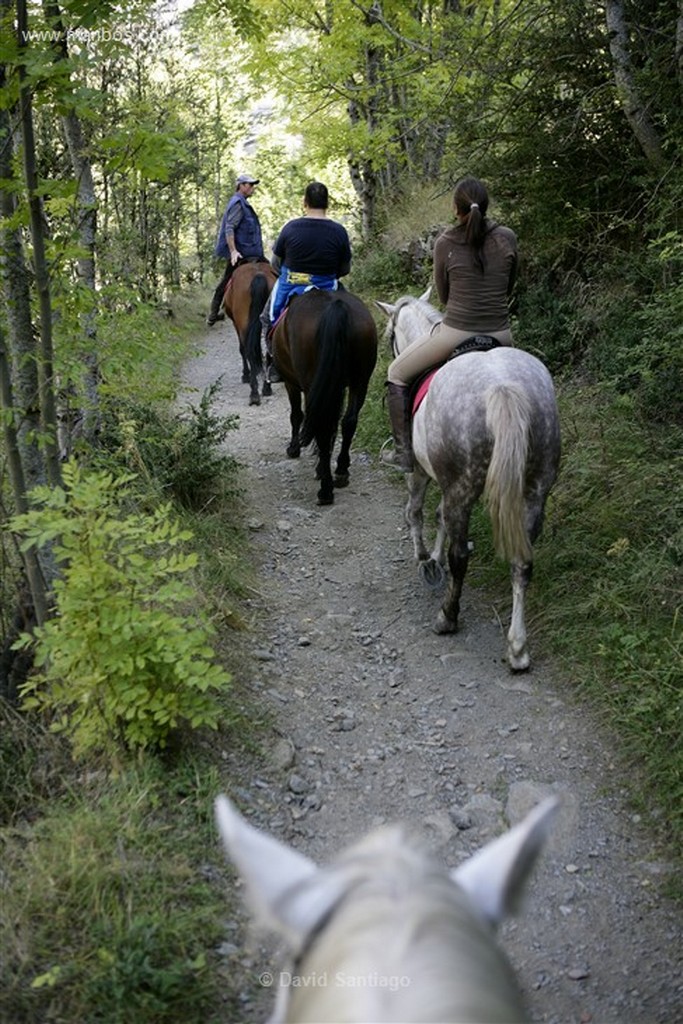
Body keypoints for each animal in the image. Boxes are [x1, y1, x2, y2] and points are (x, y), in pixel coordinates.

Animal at [224, 260, 278, 403]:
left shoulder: (236, 324)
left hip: (243, 323)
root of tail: (258, 276)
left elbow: (242, 349)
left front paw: (245, 375)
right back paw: (266, 388)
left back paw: (254, 393)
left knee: (248, 351)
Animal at [272, 290, 378, 505]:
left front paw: (294, 448)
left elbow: (296, 415)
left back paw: (325, 488)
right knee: (348, 421)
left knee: (322, 425)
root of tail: (335, 306)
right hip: (360, 381)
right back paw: (341, 471)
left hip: (311, 382)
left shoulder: (292, 384)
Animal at [374, 290, 561, 671]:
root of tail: (502, 386)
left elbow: (416, 512)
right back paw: (517, 648)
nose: (390, 350)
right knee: (522, 561)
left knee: (461, 554)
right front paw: (434, 557)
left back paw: (447, 616)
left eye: (389, 335)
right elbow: (441, 518)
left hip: (463, 486)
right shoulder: (447, 483)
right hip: (535, 489)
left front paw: (425, 559)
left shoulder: (421, 472)